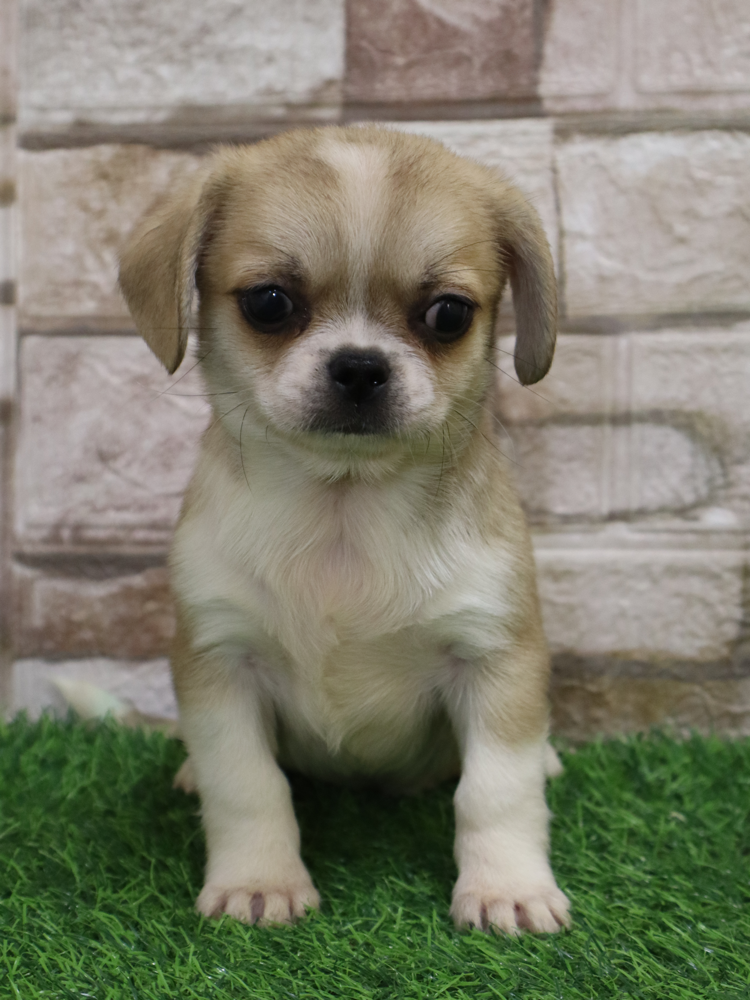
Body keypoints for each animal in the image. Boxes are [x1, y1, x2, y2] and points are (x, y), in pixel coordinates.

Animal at [118, 125, 570, 934]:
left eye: (448, 315)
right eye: (269, 303)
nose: (359, 365)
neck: (344, 516)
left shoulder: (495, 659)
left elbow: (496, 790)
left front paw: (506, 888)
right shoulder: (221, 664)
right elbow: (248, 785)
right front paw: (258, 881)